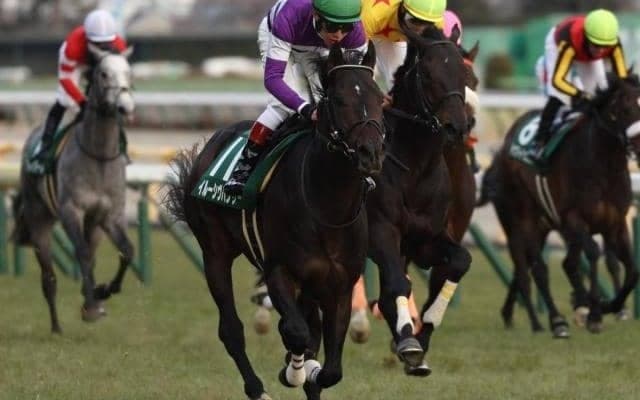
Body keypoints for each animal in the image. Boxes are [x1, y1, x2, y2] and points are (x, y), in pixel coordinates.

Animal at [11, 44, 136, 333]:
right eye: (103, 74)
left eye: (128, 72)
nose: (125, 106)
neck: (98, 156)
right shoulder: (72, 211)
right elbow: (81, 253)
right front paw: (91, 305)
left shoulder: (109, 215)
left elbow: (126, 251)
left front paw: (103, 291)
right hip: (39, 219)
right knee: (49, 277)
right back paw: (56, 326)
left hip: (95, 227)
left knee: (92, 254)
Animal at [164, 43, 385, 400]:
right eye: (339, 99)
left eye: (381, 98)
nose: (371, 153)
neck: (328, 207)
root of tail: (214, 141)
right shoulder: (279, 269)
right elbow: (296, 331)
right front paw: (293, 372)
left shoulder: (339, 284)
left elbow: (330, 367)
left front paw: (308, 370)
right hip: (215, 252)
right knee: (231, 329)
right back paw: (258, 388)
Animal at [366, 21, 471, 375]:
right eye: (427, 73)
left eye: (464, 75)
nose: (456, 127)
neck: (415, 168)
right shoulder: (381, 231)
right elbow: (398, 285)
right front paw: (409, 343)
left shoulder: (425, 239)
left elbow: (460, 261)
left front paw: (421, 338)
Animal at [478, 73, 640, 337]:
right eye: (625, 109)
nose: (639, 145)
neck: (603, 167)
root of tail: (500, 153)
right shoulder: (574, 218)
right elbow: (592, 254)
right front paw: (595, 313)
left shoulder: (616, 223)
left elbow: (631, 270)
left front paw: (609, 306)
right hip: (519, 221)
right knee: (534, 270)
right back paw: (553, 322)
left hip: (543, 227)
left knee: (538, 267)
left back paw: (512, 313)